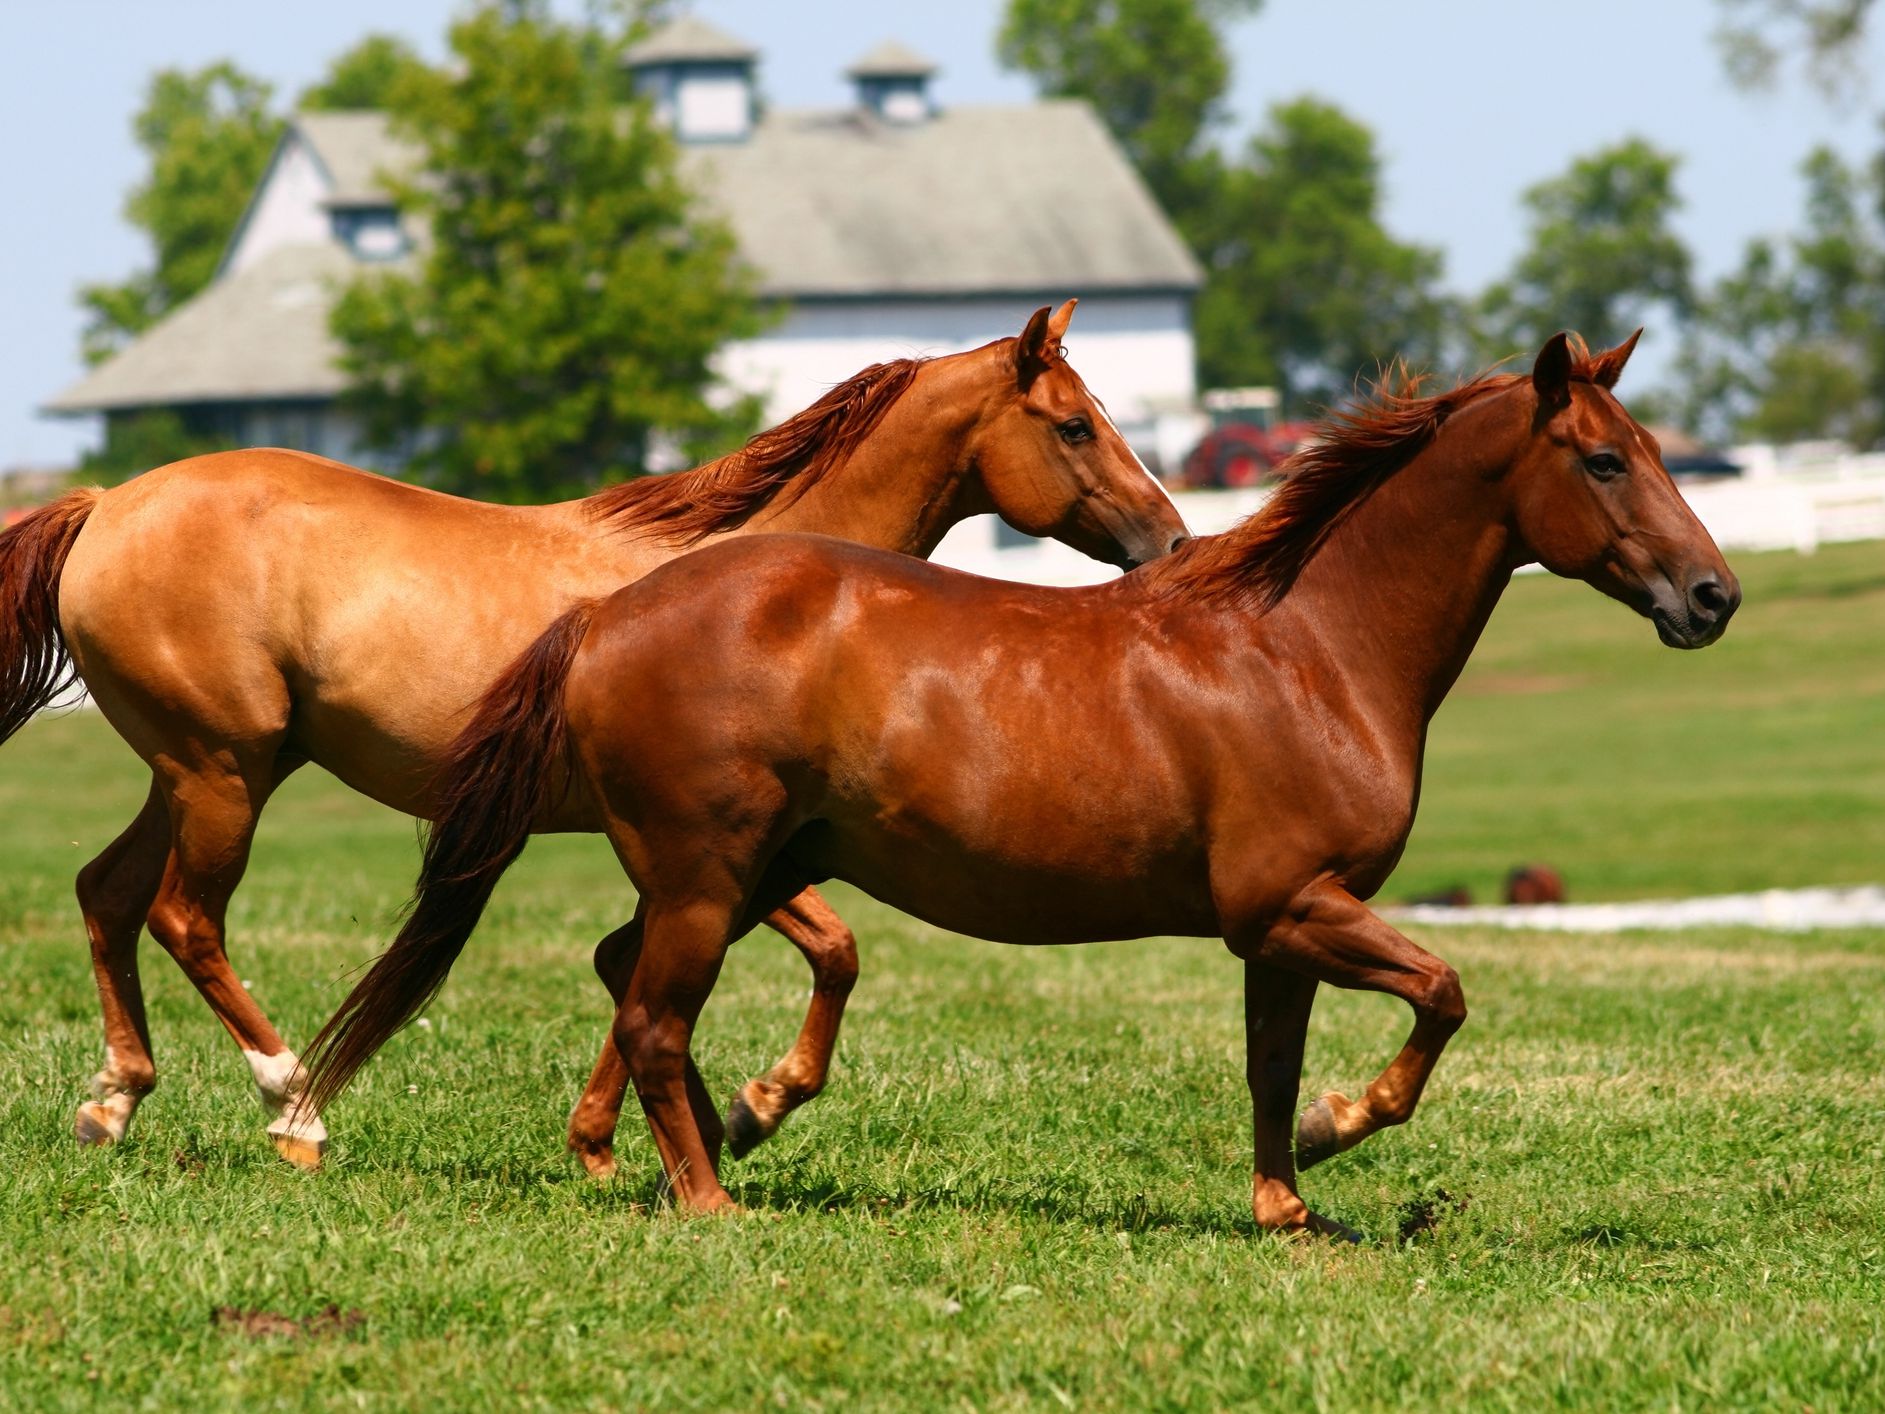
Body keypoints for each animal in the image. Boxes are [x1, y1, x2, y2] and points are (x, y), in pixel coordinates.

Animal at [0, 300, 1189, 1171]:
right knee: (183, 918)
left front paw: (639, 1135)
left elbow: (737, 963)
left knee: (107, 894)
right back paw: (293, 1107)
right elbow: (798, 955)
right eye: (1074, 424)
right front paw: (744, 1111)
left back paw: (114, 1103)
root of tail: (107, 503)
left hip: (202, 769)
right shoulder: (716, 841)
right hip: (224, 774)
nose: (1174, 542)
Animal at [303, 330, 1740, 1236]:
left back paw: (719, 1138)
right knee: (655, 1015)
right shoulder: (1295, 906)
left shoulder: (1277, 928)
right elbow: (1438, 995)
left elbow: (1270, 1067)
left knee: (628, 977)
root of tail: (607, 614)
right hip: (712, 875)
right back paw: (712, 1193)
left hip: (755, 867)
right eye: (1604, 459)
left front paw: (1289, 1203)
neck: (1304, 648)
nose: (1711, 596)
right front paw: (1348, 1125)